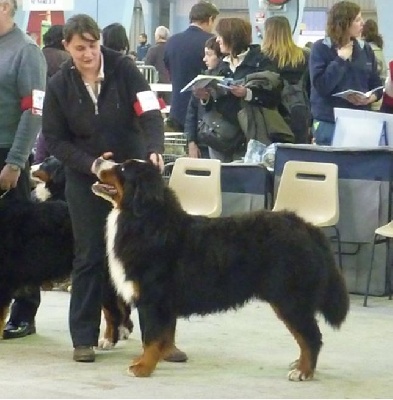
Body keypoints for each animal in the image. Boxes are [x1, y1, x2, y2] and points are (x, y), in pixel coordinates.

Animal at [92, 159, 350, 382]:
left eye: (122, 169)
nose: (98, 160)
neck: (146, 223)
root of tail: (305, 226)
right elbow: (158, 337)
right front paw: (146, 361)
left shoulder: (153, 300)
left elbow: (151, 339)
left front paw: (143, 367)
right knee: (305, 337)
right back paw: (300, 364)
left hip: (290, 299)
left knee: (312, 336)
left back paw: (303, 371)